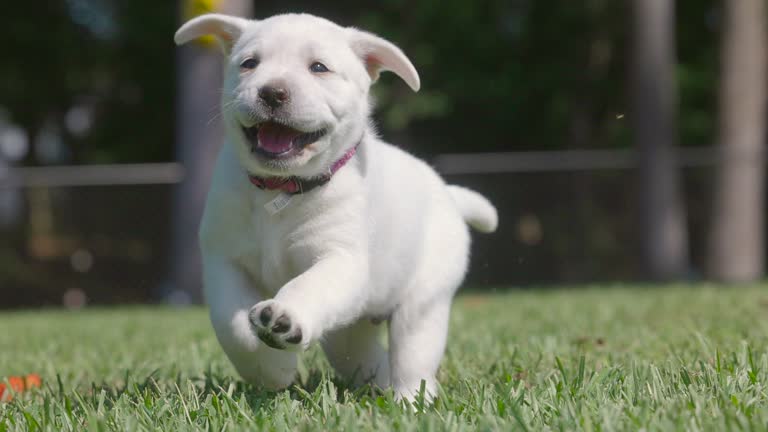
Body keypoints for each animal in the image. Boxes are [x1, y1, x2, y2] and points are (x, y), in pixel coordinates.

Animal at [174, 12, 498, 402]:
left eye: (319, 67)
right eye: (249, 64)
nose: (272, 92)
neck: (282, 190)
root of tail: (448, 193)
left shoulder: (342, 260)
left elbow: (308, 285)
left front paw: (284, 319)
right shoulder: (225, 262)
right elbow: (231, 324)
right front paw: (273, 369)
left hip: (423, 302)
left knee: (413, 356)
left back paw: (409, 401)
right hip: (349, 329)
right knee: (362, 354)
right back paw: (379, 385)